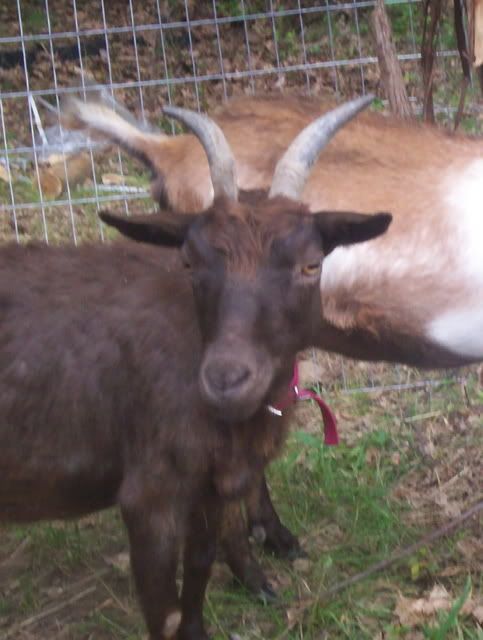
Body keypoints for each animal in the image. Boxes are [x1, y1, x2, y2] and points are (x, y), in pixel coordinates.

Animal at [0, 98, 391, 639]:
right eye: (189, 262)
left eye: (312, 264)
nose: (226, 379)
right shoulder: (150, 496)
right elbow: (164, 611)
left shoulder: (209, 484)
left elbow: (200, 571)